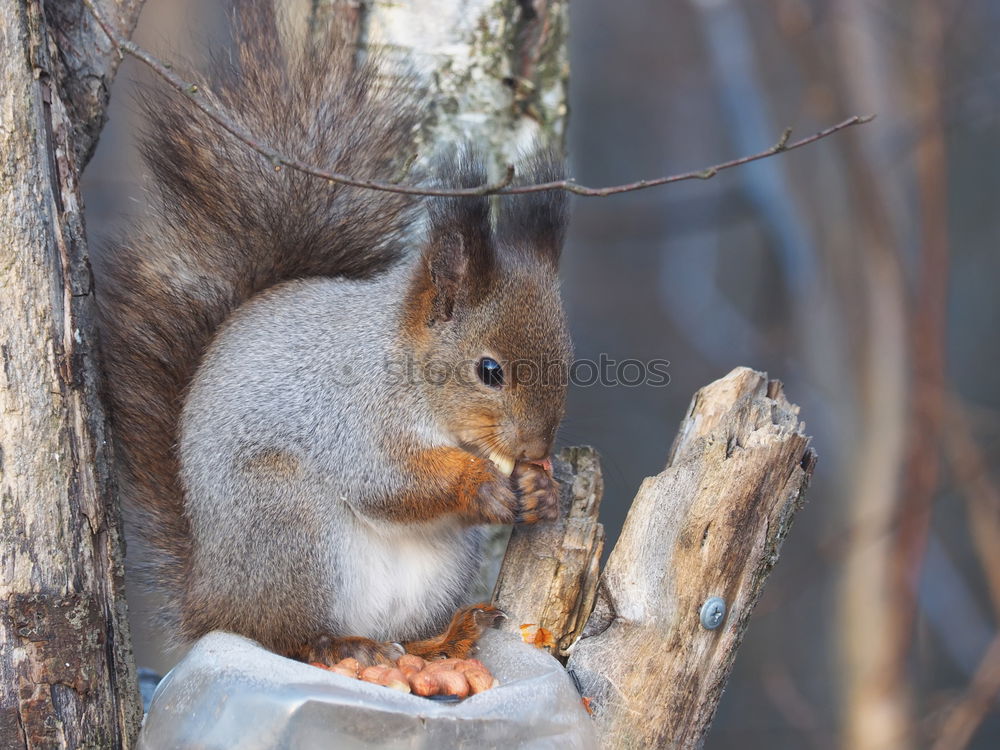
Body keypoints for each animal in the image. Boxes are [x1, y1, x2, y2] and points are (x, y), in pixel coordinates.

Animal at [98, 1, 576, 668]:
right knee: (286, 637)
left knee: (406, 636)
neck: (406, 369)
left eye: (570, 361)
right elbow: (385, 478)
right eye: (489, 371)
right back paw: (337, 645)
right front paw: (483, 483)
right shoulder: (349, 415)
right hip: (289, 523)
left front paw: (543, 491)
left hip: (435, 572)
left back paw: (445, 639)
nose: (535, 449)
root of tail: (212, 597)